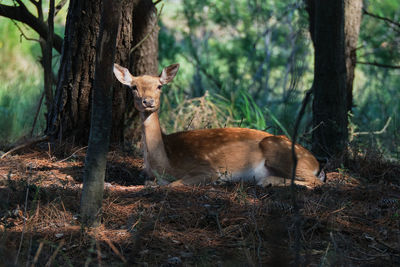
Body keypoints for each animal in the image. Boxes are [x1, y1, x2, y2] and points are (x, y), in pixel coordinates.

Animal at [113, 62, 324, 188]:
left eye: (159, 86)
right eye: (133, 87)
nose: (148, 102)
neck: (164, 164)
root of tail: (315, 162)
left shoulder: (207, 169)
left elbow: (172, 185)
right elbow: (150, 184)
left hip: (279, 150)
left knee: (316, 181)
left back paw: (266, 180)